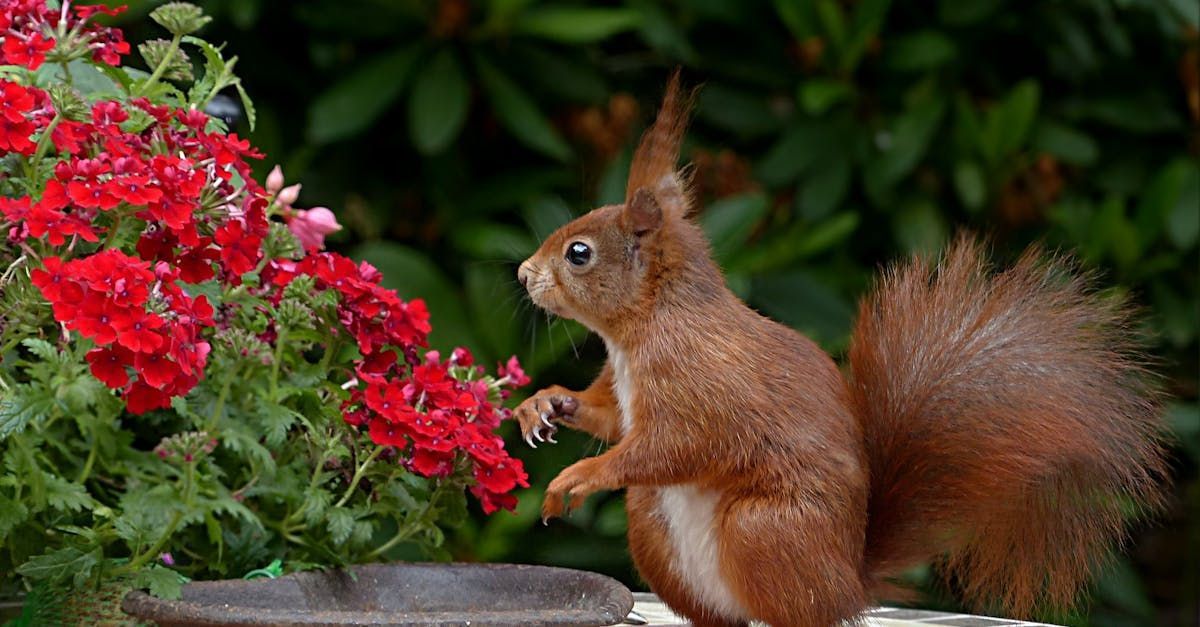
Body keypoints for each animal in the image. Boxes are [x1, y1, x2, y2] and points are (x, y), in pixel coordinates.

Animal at [513, 73, 1168, 627]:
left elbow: (677, 444)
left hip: (764, 529)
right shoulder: (624, 390)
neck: (644, 328)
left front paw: (581, 474)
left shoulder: (701, 382)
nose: (522, 274)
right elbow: (609, 417)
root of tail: (850, 584)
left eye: (578, 253)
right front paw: (544, 404)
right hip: (655, 526)